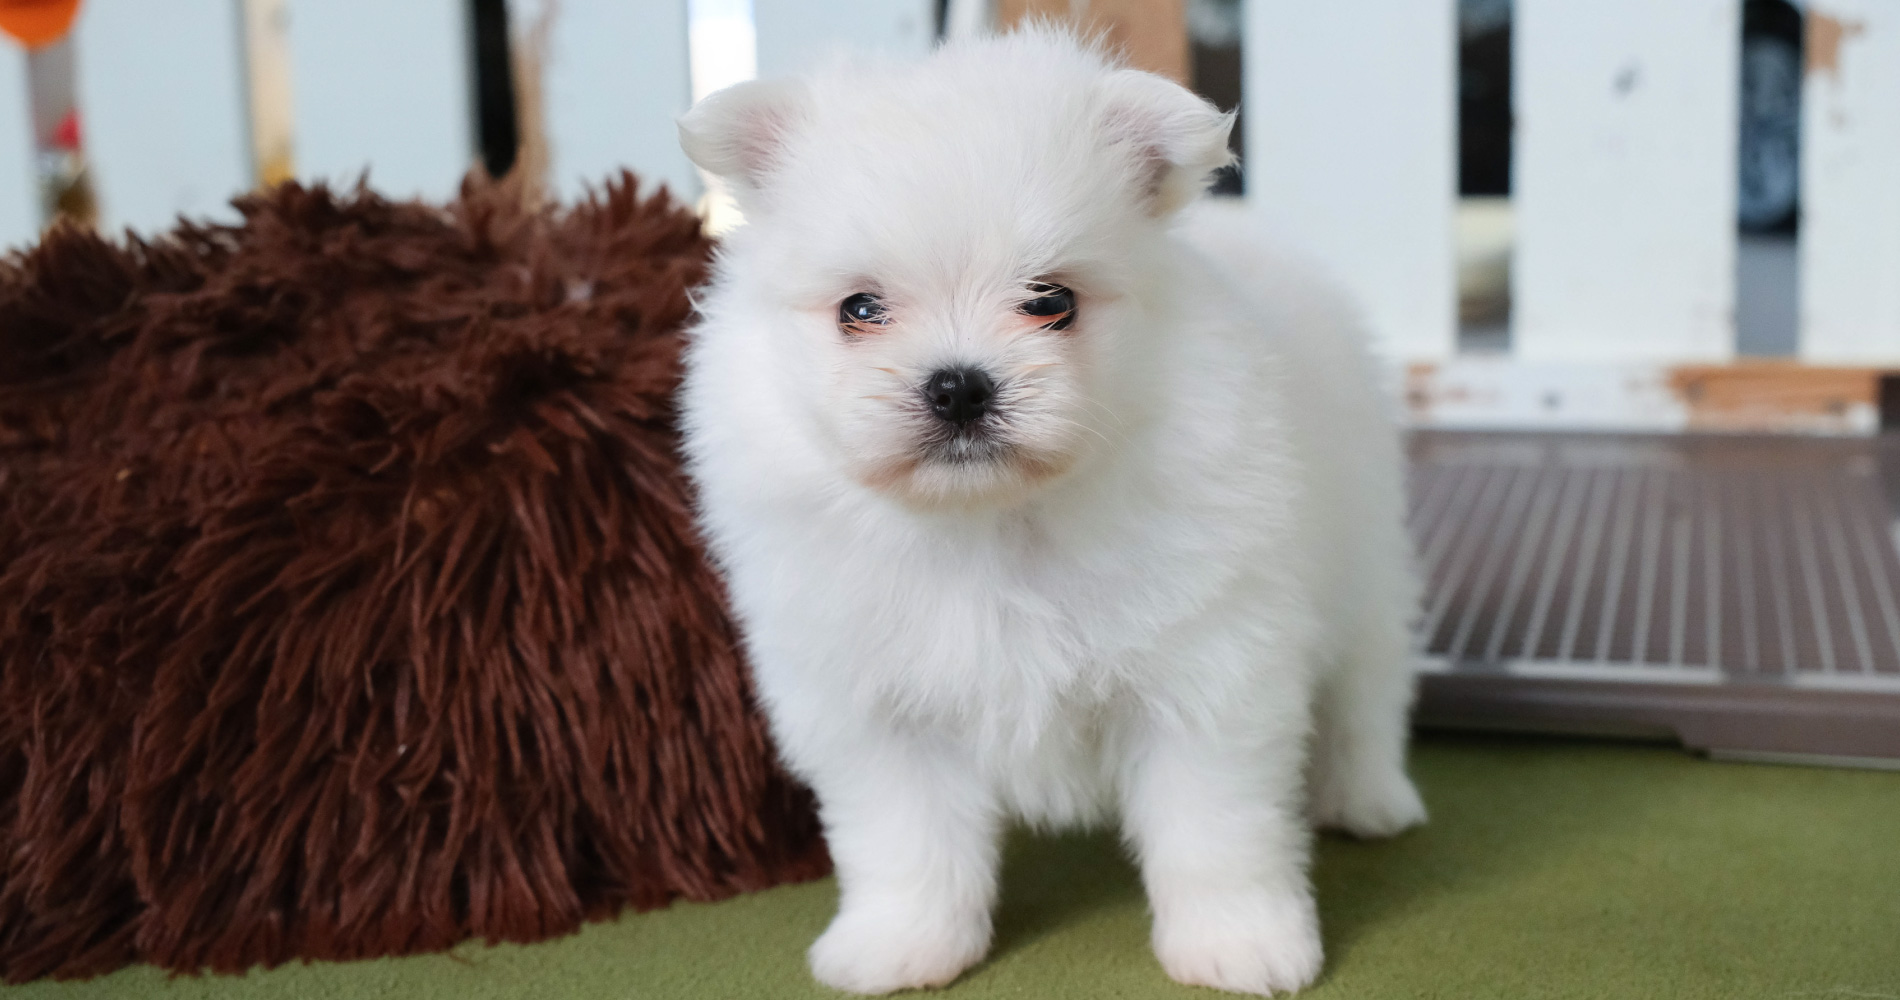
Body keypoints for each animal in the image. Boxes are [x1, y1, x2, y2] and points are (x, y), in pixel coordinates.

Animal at [676, 27, 1425, 996]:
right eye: (860, 309)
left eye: (1051, 302)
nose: (958, 384)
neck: (995, 522)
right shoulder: (874, 708)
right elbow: (904, 836)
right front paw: (902, 943)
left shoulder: (1208, 670)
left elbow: (1217, 827)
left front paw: (1239, 943)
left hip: (1364, 550)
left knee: (1368, 688)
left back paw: (1369, 798)